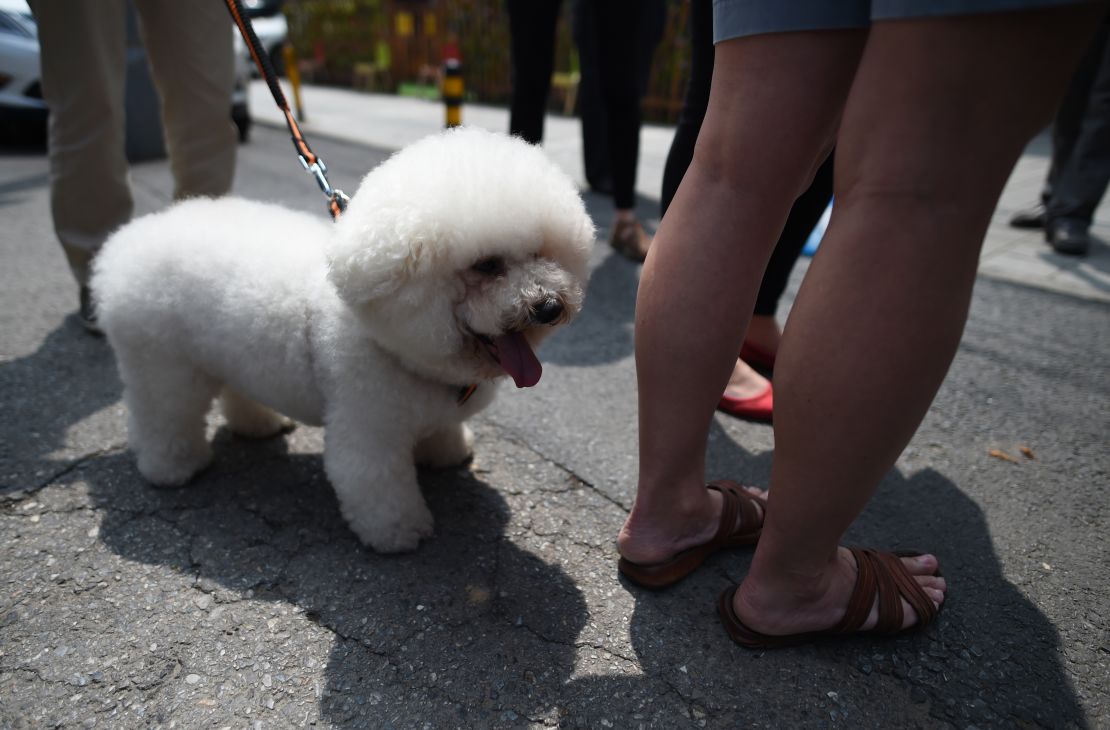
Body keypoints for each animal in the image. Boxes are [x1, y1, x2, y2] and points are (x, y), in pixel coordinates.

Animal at [91, 128, 594, 548]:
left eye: (540, 254)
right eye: (487, 265)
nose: (549, 307)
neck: (386, 337)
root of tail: (121, 249)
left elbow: (441, 431)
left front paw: (447, 452)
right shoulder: (367, 428)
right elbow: (372, 481)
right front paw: (399, 533)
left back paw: (259, 425)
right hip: (162, 365)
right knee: (162, 417)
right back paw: (172, 469)